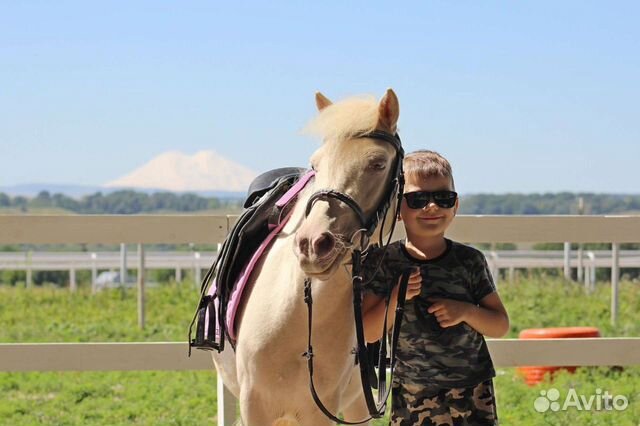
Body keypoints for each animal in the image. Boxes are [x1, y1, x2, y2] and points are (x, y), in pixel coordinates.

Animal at [214, 88, 404, 424]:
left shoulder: (323, 410)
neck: (296, 321)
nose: (313, 244)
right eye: (316, 164)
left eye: (378, 164)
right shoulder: (254, 406)